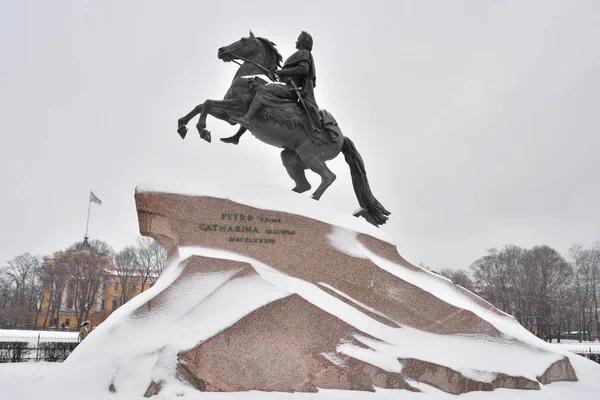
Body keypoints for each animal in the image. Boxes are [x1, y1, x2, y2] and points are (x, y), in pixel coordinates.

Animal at [176, 32, 390, 225]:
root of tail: (341, 138)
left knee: (328, 177)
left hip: (310, 156)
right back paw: (286, 198)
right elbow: (201, 106)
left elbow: (207, 103)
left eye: (243, 40)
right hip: (291, 157)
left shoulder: (236, 108)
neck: (250, 76)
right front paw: (182, 126)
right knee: (304, 184)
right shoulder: (228, 115)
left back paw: (312, 199)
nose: (222, 51)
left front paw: (203, 130)